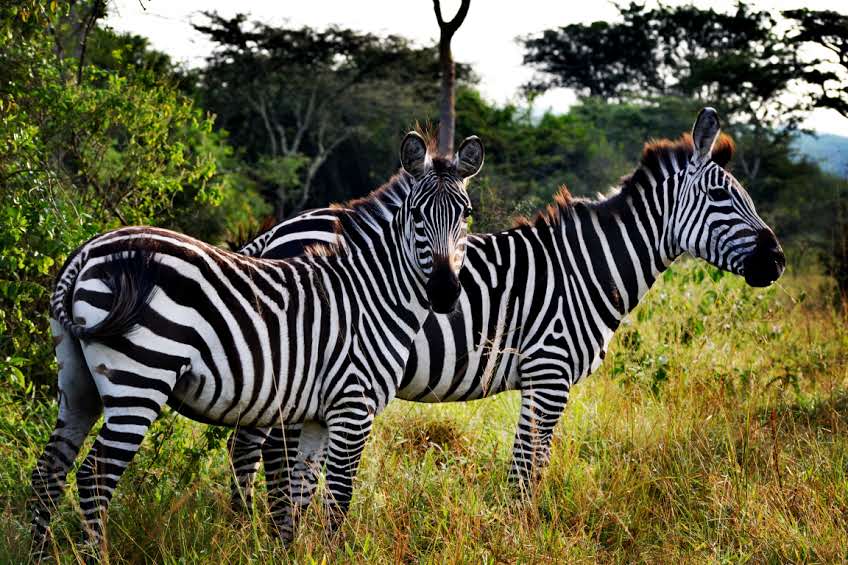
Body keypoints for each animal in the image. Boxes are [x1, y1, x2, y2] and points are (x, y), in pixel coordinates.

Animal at [28, 131, 484, 556]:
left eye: (466, 215)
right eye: (417, 215)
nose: (445, 292)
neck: (372, 294)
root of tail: (87, 251)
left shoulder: (320, 415)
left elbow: (300, 492)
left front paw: (293, 551)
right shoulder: (354, 407)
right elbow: (337, 499)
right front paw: (327, 553)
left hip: (77, 381)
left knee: (48, 471)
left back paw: (40, 555)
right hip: (140, 378)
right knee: (94, 476)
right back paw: (94, 555)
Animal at [224, 106, 780, 512]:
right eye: (721, 198)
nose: (776, 261)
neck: (588, 267)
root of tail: (274, 234)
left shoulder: (545, 378)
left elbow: (532, 464)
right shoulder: (549, 371)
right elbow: (525, 470)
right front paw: (520, 531)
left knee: (247, 445)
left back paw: (243, 524)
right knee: (265, 448)